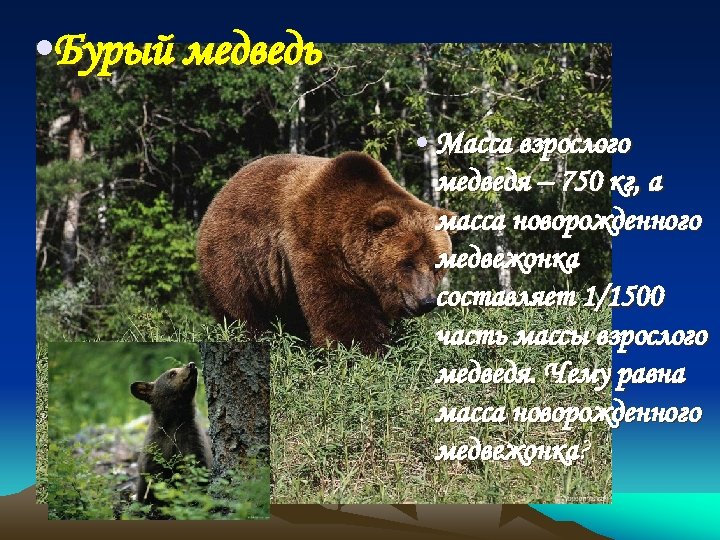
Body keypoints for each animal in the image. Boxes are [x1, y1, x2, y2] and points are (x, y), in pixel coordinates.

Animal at [131, 362, 213, 506]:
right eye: (172, 373)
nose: (192, 365)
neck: (174, 421)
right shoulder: (155, 447)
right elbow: (154, 478)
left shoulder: (192, 441)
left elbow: (195, 470)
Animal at [196, 151, 455, 354]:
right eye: (407, 263)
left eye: (436, 265)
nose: (427, 301)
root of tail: (222, 191)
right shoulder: (316, 243)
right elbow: (340, 311)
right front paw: (365, 350)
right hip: (237, 260)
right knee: (241, 311)